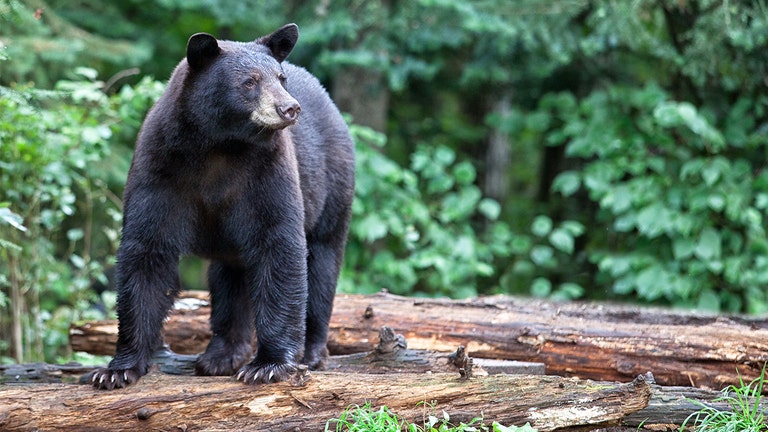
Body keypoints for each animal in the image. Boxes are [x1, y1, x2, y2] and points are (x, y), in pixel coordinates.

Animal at [91, 22, 356, 390]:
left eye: (281, 77)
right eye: (249, 82)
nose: (289, 108)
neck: (220, 146)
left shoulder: (267, 172)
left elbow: (279, 245)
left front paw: (268, 365)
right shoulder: (160, 169)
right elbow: (147, 251)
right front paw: (117, 369)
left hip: (332, 185)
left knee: (322, 261)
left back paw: (312, 351)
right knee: (230, 278)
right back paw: (222, 355)